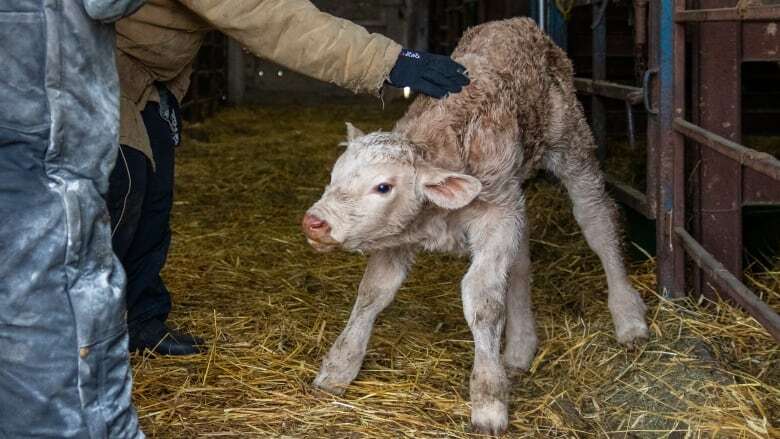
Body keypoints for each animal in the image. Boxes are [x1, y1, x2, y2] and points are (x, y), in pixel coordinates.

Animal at [302, 18, 648, 436]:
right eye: (333, 176)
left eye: (383, 186)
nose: (315, 222)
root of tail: (516, 22)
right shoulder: (400, 234)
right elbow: (373, 293)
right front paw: (339, 367)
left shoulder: (494, 215)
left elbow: (482, 299)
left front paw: (488, 399)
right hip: (514, 194)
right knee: (521, 261)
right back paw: (519, 347)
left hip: (568, 142)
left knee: (597, 220)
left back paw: (628, 318)